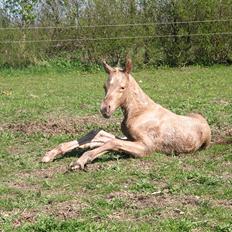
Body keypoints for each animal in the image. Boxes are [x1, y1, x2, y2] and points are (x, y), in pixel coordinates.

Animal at [40, 58, 211, 170]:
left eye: (122, 87)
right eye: (104, 86)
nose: (105, 109)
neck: (139, 112)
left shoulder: (146, 147)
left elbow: (113, 143)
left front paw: (80, 161)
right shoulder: (130, 138)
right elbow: (103, 136)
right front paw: (52, 153)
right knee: (101, 135)